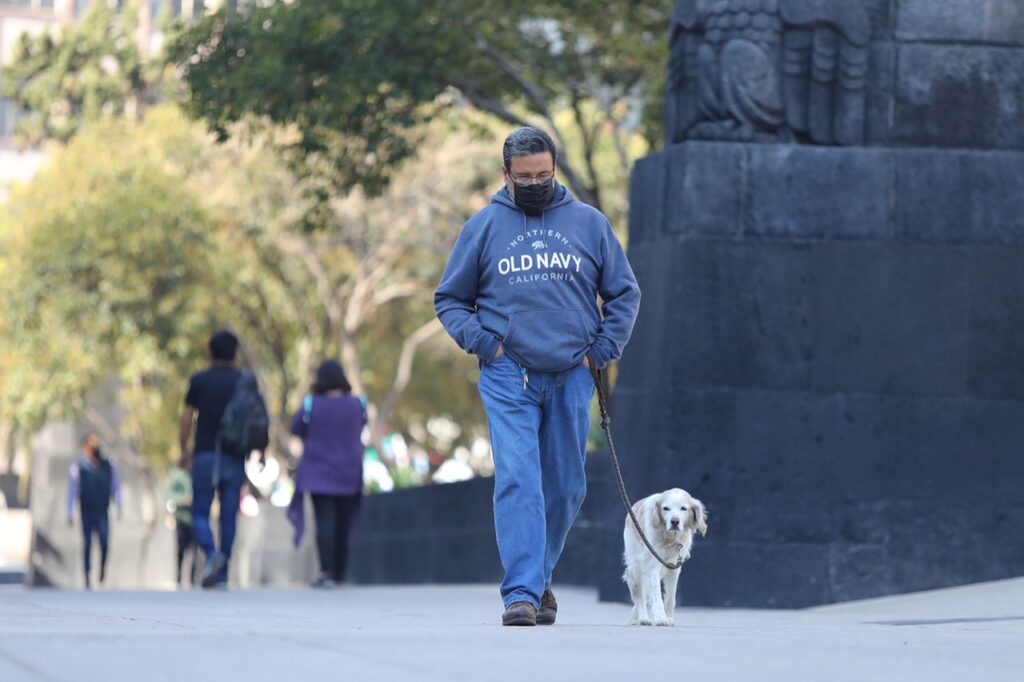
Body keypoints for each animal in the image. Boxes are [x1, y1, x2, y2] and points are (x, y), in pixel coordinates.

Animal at [622, 485, 704, 622]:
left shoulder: (674, 567)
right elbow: (656, 594)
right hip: (637, 565)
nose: (674, 521)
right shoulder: (652, 565)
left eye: (683, 508)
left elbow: (671, 597)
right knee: (639, 592)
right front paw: (661, 618)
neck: (670, 539)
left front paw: (669, 617)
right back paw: (643, 618)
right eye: (666, 508)